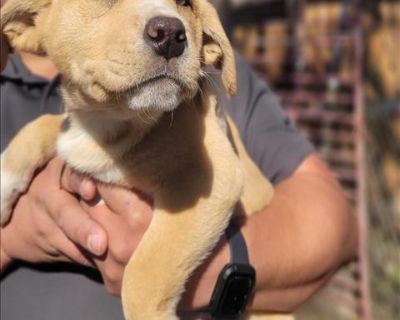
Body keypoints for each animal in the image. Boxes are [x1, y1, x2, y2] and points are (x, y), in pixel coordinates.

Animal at [0, 0, 288, 318]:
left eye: (186, 4)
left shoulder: (211, 180)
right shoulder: (73, 136)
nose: (170, 34)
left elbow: (144, 272)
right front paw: (2, 188)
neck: (113, 124)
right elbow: (40, 125)